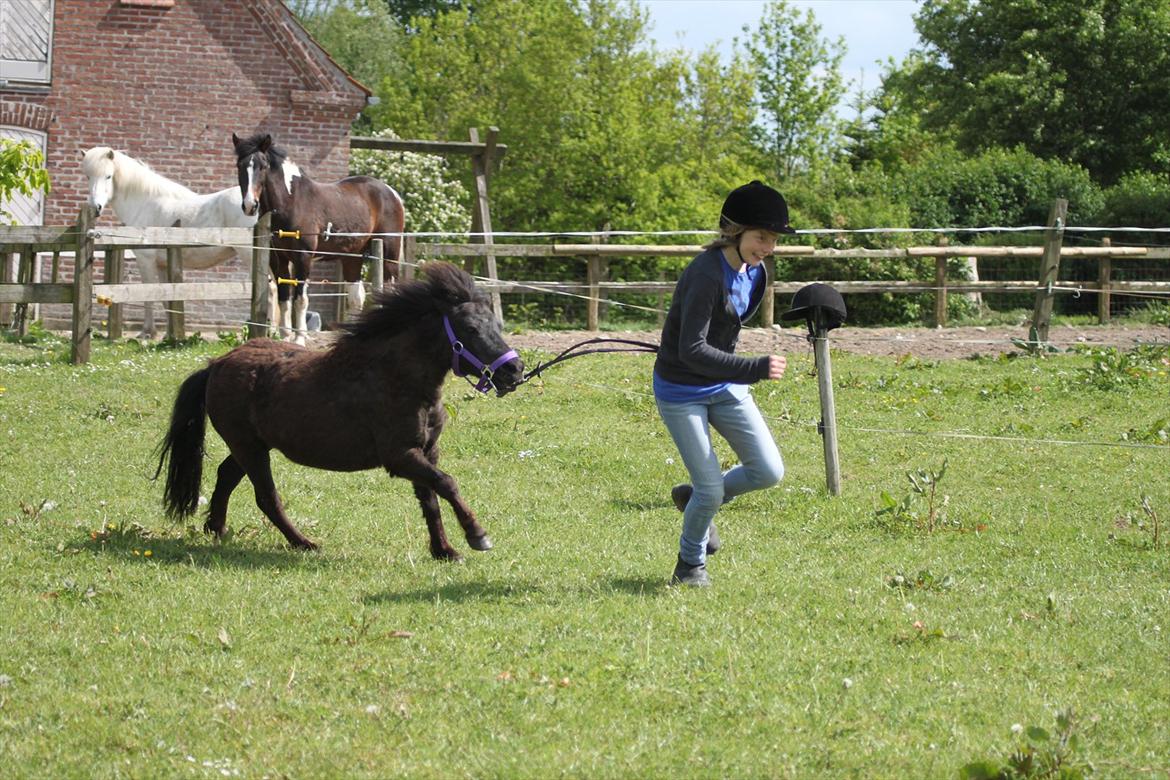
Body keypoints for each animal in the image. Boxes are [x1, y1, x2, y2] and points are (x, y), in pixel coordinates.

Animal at [82, 146, 265, 339]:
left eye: (108, 176)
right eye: (87, 176)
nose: (95, 207)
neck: (145, 203)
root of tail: (254, 204)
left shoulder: (146, 260)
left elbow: (149, 293)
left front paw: (147, 332)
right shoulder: (163, 265)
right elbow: (167, 298)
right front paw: (169, 334)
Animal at [153, 264, 524, 561]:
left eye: (497, 325)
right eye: (470, 329)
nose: (515, 370)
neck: (395, 377)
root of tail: (217, 363)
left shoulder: (426, 452)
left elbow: (430, 499)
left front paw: (444, 550)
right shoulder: (401, 456)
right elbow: (447, 484)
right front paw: (477, 536)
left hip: (252, 446)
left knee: (227, 476)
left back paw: (217, 529)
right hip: (249, 447)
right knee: (266, 496)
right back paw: (304, 543)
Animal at [231, 132, 407, 346]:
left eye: (262, 166)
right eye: (239, 165)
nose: (250, 205)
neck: (291, 202)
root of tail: (393, 194)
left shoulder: (303, 258)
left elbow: (300, 300)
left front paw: (299, 339)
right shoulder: (278, 259)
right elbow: (284, 298)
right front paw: (286, 337)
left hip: (389, 254)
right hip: (352, 258)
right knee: (356, 296)